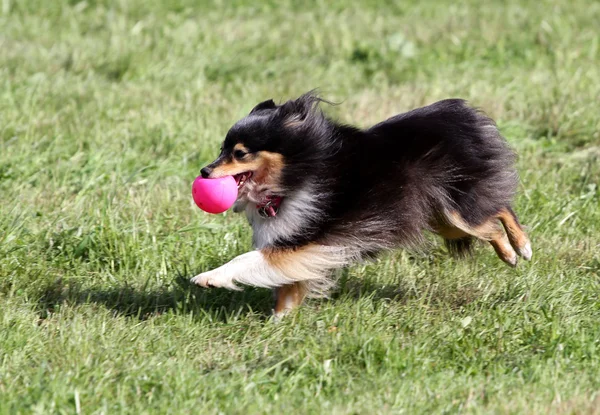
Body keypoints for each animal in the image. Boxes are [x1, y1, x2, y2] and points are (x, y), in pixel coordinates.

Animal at [191, 92, 528, 316]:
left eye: (239, 153)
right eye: (222, 149)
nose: (204, 171)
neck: (293, 175)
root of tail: (462, 113)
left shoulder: (303, 240)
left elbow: (247, 260)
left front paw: (209, 278)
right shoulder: (300, 247)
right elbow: (290, 288)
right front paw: (279, 321)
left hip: (457, 210)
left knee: (492, 221)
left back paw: (517, 249)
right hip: (441, 218)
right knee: (498, 208)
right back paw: (517, 247)